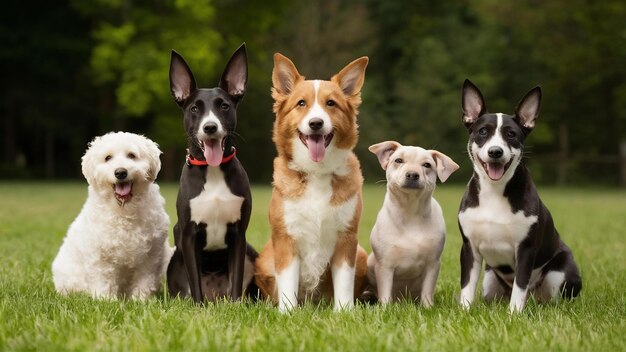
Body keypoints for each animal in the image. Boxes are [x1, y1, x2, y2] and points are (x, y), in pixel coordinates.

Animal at [51, 132, 172, 300]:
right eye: (108, 158)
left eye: (131, 155)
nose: (120, 172)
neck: (124, 211)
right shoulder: (99, 256)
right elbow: (103, 280)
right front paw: (106, 300)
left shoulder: (150, 256)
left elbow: (144, 280)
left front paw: (141, 300)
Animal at [165, 42, 258, 302]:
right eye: (195, 108)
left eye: (224, 106)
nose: (210, 127)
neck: (213, 170)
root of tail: (216, 295)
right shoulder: (188, 236)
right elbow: (194, 281)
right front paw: (198, 306)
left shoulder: (238, 235)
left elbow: (236, 279)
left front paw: (236, 306)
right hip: (174, 261)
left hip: (252, 253)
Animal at [255, 52, 370, 310]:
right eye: (301, 103)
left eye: (331, 103)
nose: (316, 123)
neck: (318, 172)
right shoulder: (285, 239)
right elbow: (287, 283)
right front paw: (286, 313)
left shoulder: (347, 238)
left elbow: (344, 283)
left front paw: (344, 312)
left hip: (361, 253)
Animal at [366, 140, 458, 306]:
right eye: (398, 160)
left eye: (427, 165)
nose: (412, 174)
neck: (409, 212)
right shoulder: (384, 266)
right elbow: (385, 292)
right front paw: (385, 308)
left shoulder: (432, 264)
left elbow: (427, 291)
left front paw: (428, 307)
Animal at [454, 78, 580, 312]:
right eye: (483, 131)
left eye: (511, 134)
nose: (495, 151)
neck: (495, 191)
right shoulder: (469, 248)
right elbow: (467, 285)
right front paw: (464, 311)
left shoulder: (526, 249)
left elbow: (520, 285)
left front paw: (514, 314)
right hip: (490, 281)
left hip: (559, 273)